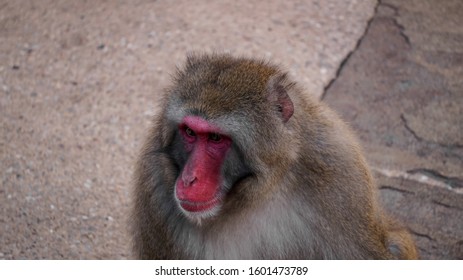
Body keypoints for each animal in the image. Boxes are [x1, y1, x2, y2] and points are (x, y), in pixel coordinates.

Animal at [130, 53, 416, 260]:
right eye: (190, 132)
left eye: (215, 138)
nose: (189, 179)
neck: (259, 193)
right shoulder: (155, 187)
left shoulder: (339, 170)